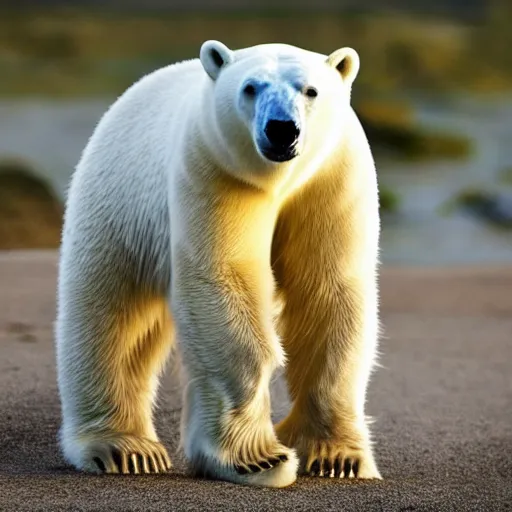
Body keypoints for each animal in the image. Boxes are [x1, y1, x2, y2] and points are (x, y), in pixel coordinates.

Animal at [57, 38, 384, 486]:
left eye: (311, 90)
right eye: (250, 87)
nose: (281, 128)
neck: (278, 179)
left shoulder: (333, 177)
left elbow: (328, 291)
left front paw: (337, 458)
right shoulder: (215, 170)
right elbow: (222, 277)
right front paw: (259, 459)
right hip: (121, 202)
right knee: (108, 314)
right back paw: (123, 448)